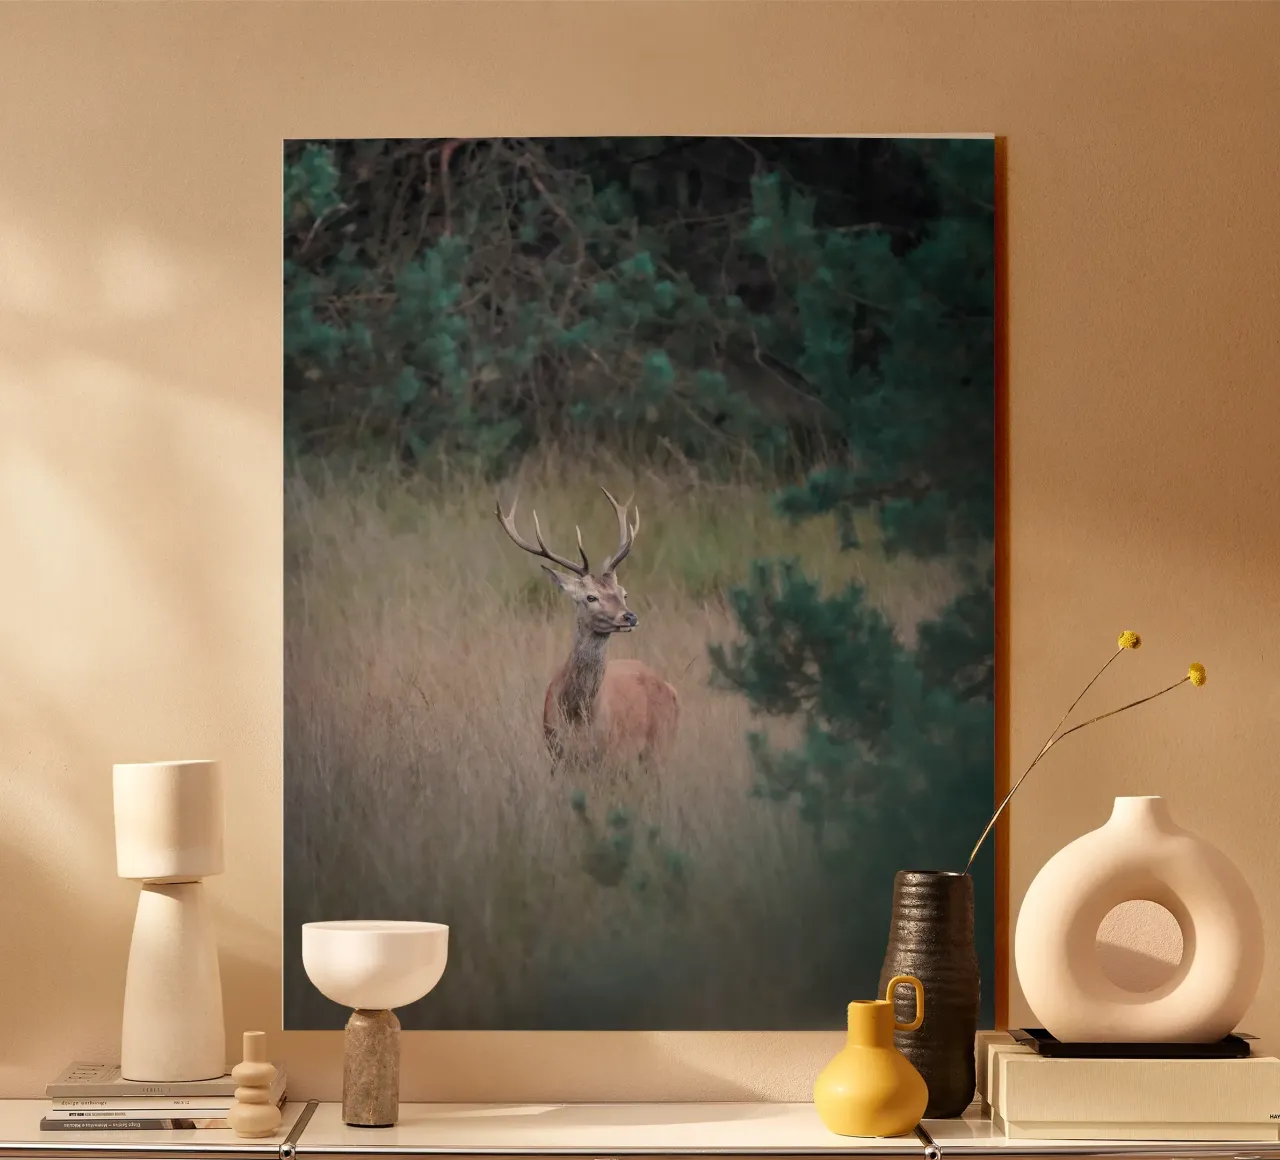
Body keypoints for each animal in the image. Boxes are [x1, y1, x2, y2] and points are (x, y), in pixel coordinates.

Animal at [495, 486, 679, 775]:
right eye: (590, 597)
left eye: (623, 593)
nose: (630, 616)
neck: (578, 718)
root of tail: (670, 688)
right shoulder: (556, 752)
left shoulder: (610, 756)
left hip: (660, 746)